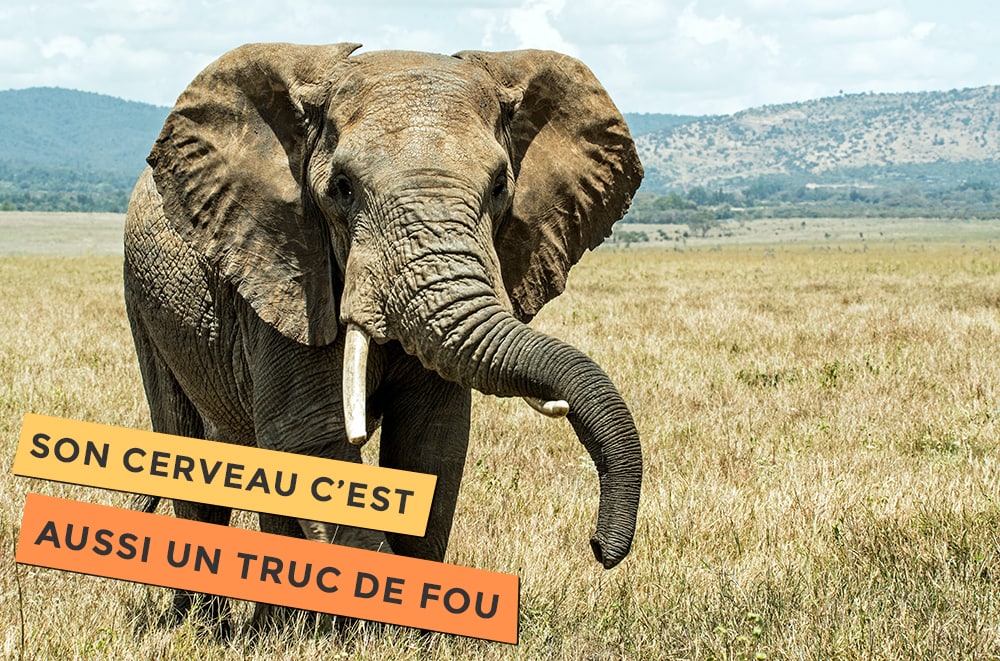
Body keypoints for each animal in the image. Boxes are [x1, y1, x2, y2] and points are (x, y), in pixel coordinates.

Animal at [123, 42, 643, 633]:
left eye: (499, 187)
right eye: (342, 189)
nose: (600, 547)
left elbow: (432, 442)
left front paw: (419, 629)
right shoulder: (287, 271)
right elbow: (311, 436)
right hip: (145, 303)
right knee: (184, 441)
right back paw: (213, 626)